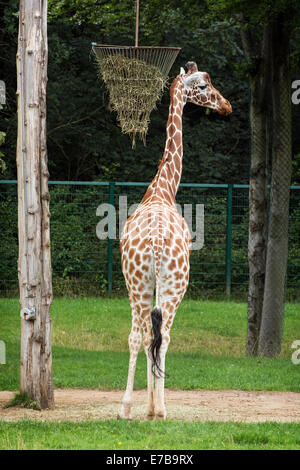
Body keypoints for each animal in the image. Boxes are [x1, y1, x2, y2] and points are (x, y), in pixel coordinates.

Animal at [118, 61, 231, 418]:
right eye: (205, 86)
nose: (227, 105)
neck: (162, 190)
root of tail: (155, 242)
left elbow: (143, 338)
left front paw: (144, 405)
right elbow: (161, 338)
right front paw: (155, 405)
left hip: (137, 283)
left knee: (138, 336)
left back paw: (127, 407)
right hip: (176, 283)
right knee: (164, 336)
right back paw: (161, 409)